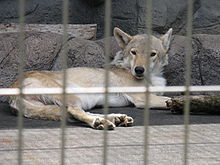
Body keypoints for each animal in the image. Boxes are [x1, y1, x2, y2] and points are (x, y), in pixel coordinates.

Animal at [9, 27, 173, 130]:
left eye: (152, 54)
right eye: (134, 52)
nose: (139, 70)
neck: (152, 77)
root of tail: (12, 88)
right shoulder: (143, 99)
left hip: (82, 102)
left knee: (77, 113)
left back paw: (116, 118)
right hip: (74, 98)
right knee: (75, 112)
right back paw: (100, 122)